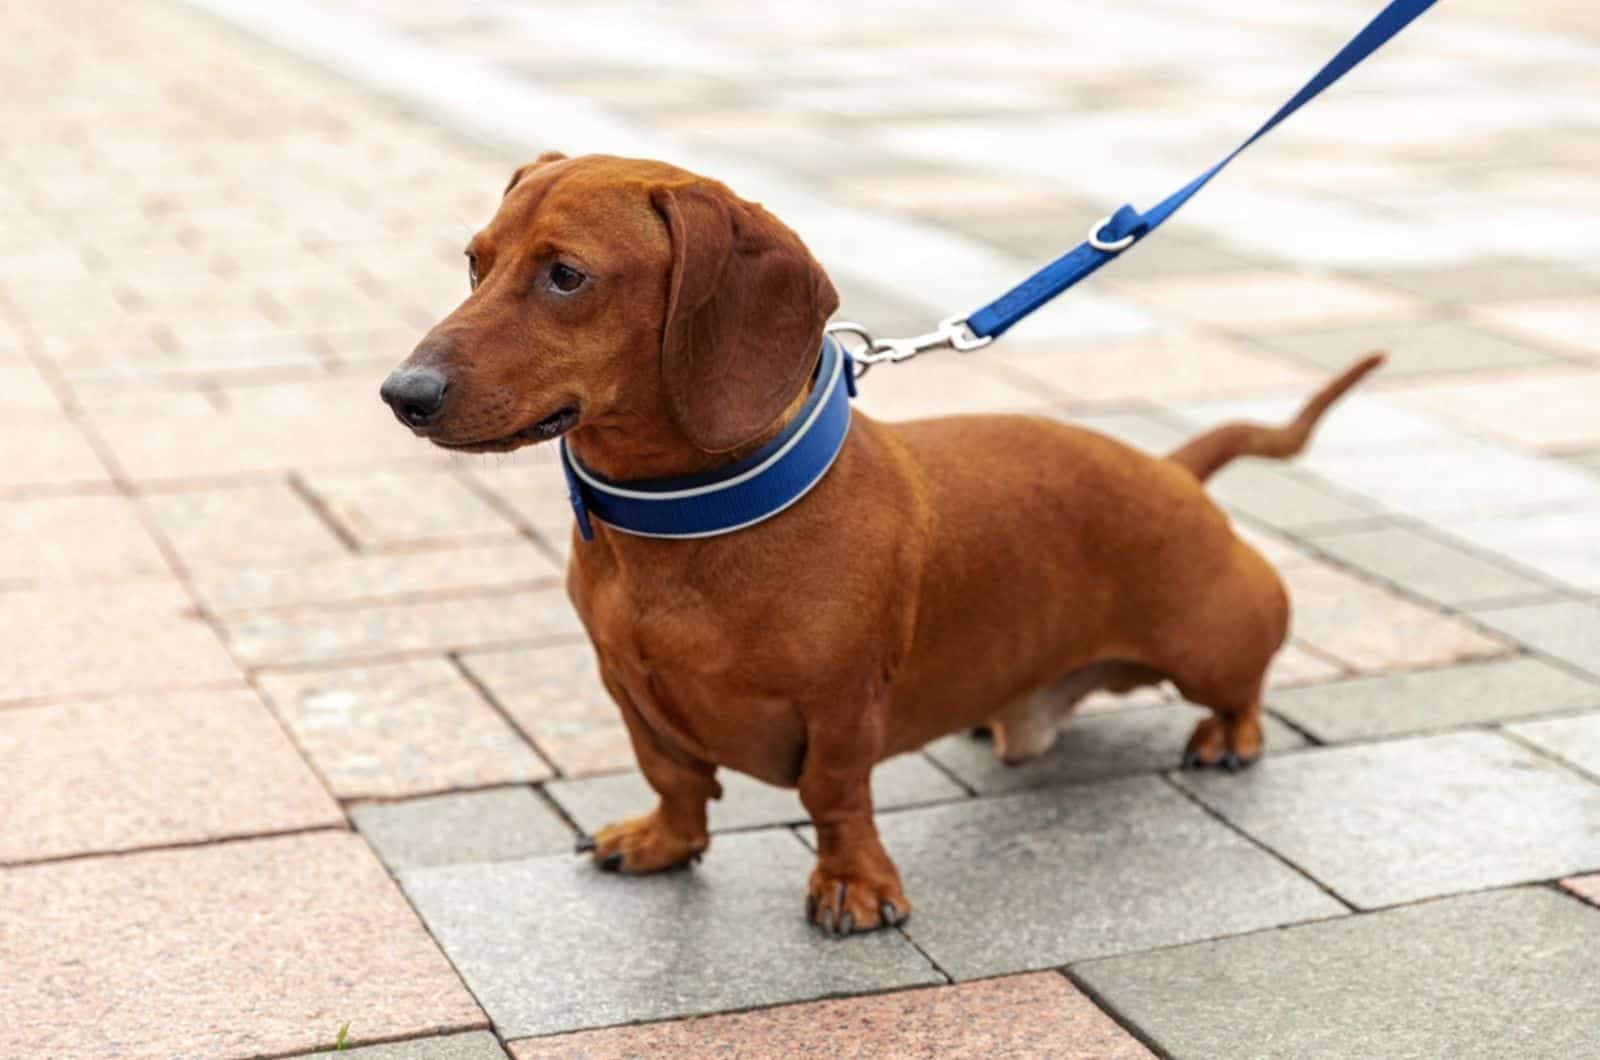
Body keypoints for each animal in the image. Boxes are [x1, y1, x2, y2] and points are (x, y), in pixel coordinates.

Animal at [380, 151, 1382, 941]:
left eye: (566, 276)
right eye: (474, 263)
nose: (402, 394)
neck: (687, 522)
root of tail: (1174, 470)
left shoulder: (841, 703)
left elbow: (835, 795)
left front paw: (855, 886)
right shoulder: (628, 691)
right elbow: (674, 777)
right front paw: (664, 842)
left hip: (1211, 645)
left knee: (1244, 689)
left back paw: (1228, 737)